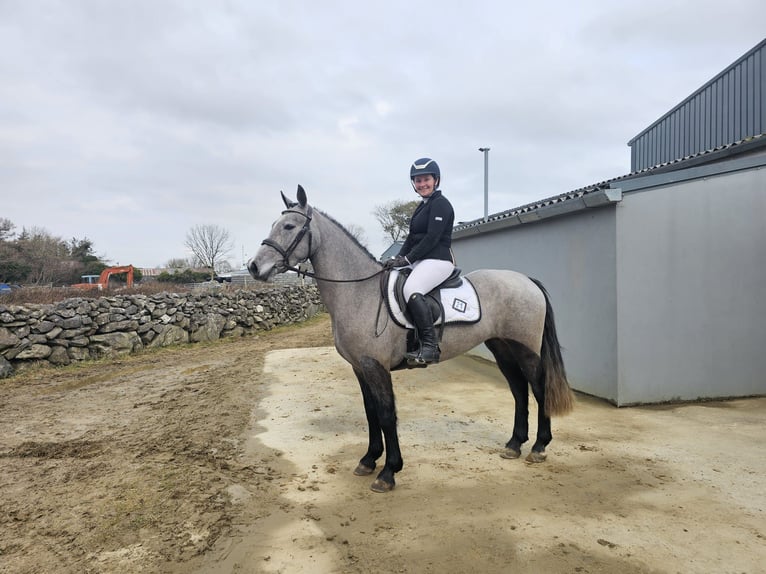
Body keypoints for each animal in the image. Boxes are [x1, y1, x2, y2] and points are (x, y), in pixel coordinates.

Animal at [252, 187, 576, 492]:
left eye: (289, 226)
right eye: (274, 224)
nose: (255, 267)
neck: (360, 292)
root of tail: (526, 280)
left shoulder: (375, 367)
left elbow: (386, 415)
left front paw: (388, 472)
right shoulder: (360, 367)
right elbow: (370, 413)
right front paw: (368, 460)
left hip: (526, 350)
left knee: (538, 388)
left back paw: (539, 447)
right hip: (502, 348)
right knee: (519, 390)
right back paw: (514, 445)